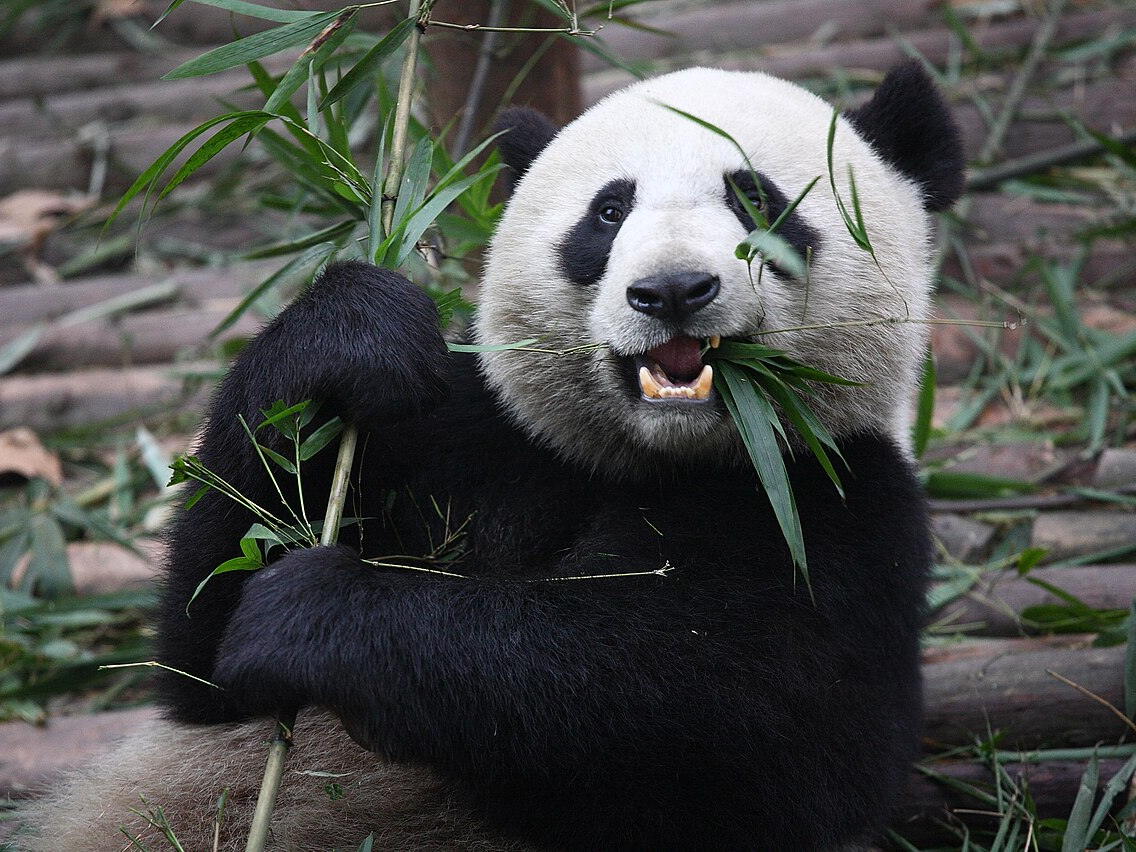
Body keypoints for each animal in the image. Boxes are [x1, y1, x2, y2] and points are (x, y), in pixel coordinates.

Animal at [17, 61, 963, 851]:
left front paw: (313, 612)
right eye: (609, 211)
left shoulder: (836, 512)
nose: (671, 292)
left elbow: (691, 710)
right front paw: (353, 336)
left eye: (759, 202)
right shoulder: (476, 438)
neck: (652, 460)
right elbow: (203, 658)